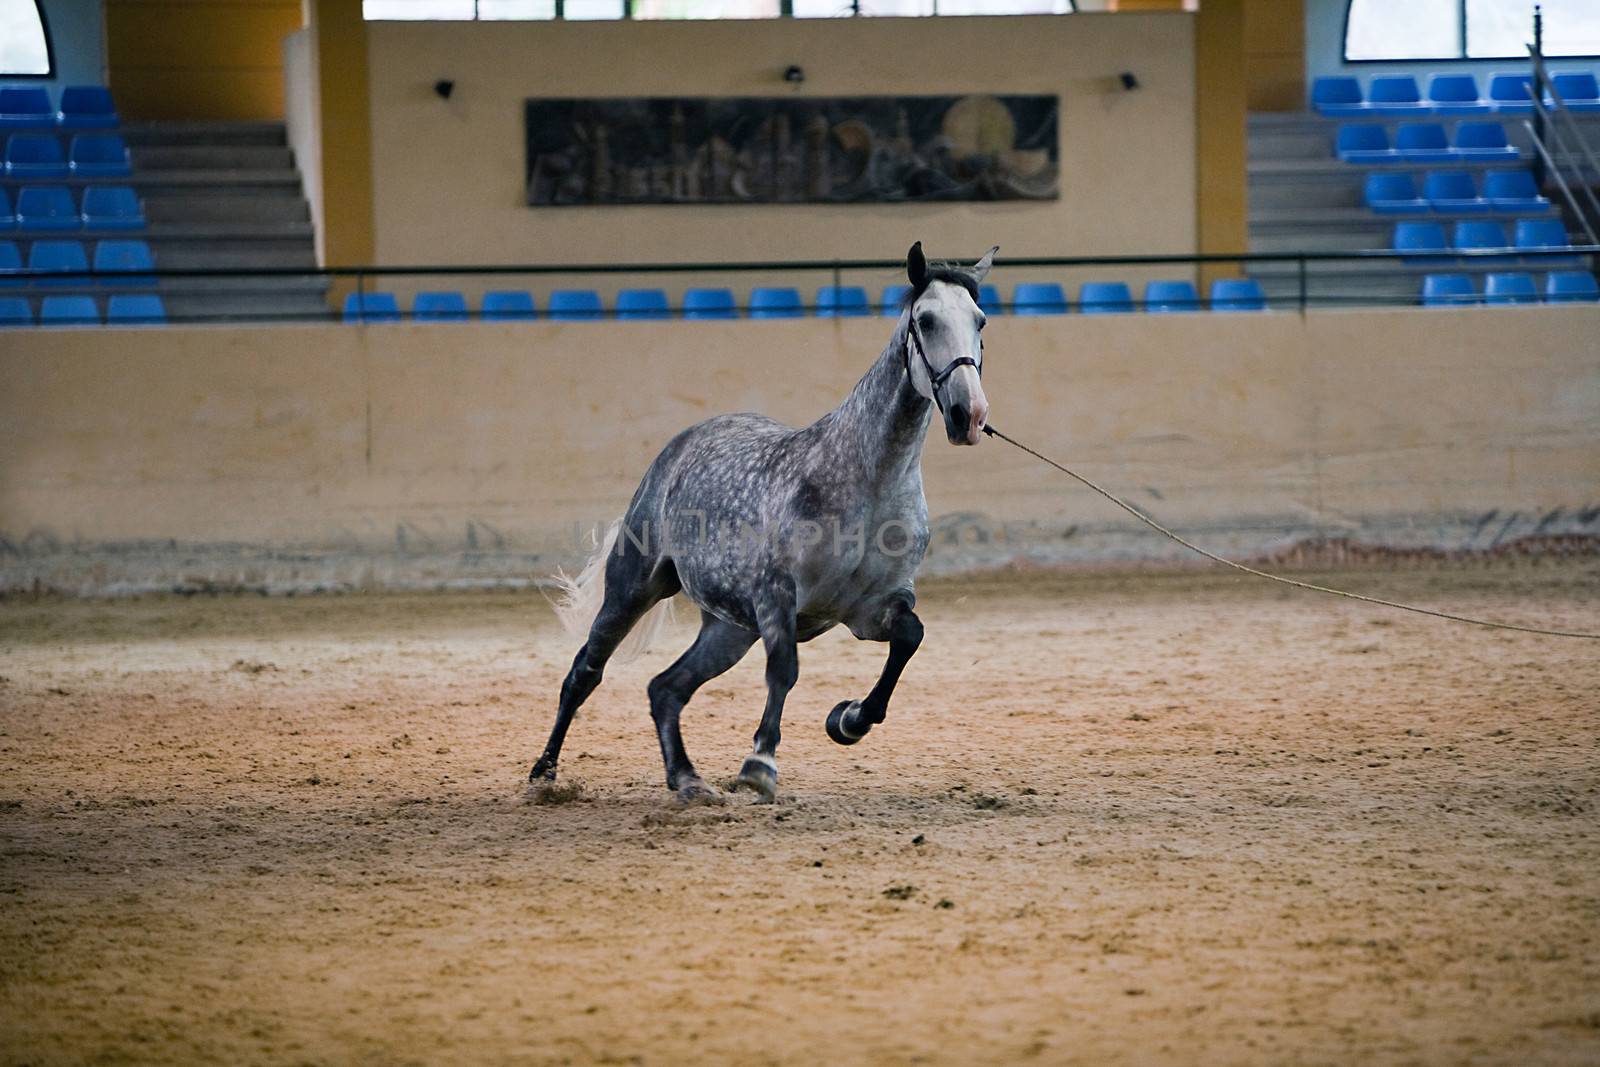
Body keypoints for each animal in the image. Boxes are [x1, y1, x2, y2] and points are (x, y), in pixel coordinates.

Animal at [531, 241, 992, 799]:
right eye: (925, 320)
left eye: (981, 321)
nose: (969, 414)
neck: (864, 482)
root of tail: (679, 447)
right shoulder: (778, 598)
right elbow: (784, 672)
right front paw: (759, 764)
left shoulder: (873, 608)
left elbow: (909, 639)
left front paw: (848, 720)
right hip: (633, 590)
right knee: (585, 672)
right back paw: (544, 774)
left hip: (730, 629)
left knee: (666, 688)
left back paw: (687, 780)